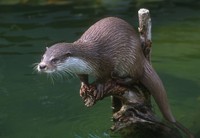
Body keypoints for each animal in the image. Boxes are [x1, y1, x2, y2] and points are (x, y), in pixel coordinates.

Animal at [36, 16, 193, 137]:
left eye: (54, 59)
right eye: (43, 56)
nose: (42, 66)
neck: (87, 58)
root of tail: (142, 58)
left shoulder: (106, 62)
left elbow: (104, 76)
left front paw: (98, 86)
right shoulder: (80, 70)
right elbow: (83, 78)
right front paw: (84, 87)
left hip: (130, 60)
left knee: (135, 76)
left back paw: (118, 79)